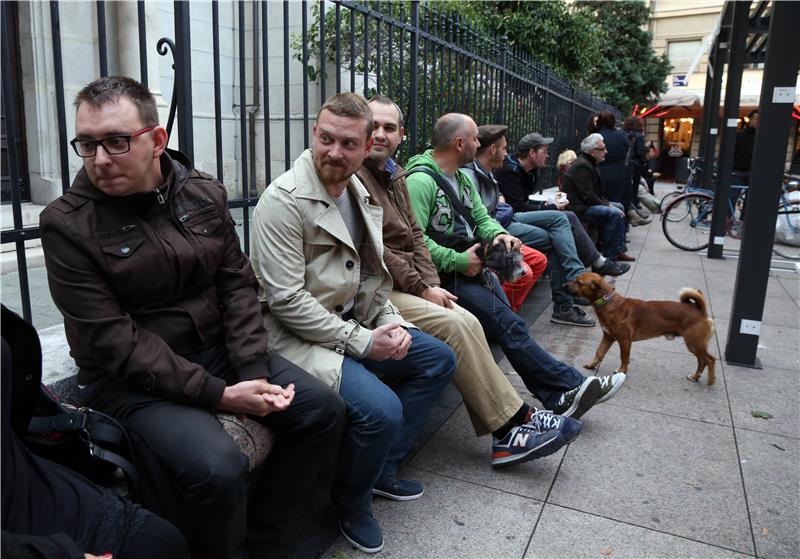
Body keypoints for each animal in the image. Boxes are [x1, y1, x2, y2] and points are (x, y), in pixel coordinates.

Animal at [564, 272, 716, 384]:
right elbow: (599, 352)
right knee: (702, 360)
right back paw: (696, 376)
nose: (563, 285)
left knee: (709, 359)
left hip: (694, 343)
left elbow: (624, 357)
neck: (607, 301)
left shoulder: (624, 341)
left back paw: (710, 380)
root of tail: (699, 310)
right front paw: (592, 365)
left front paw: (622, 371)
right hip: (695, 344)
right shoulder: (608, 337)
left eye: (579, 282)